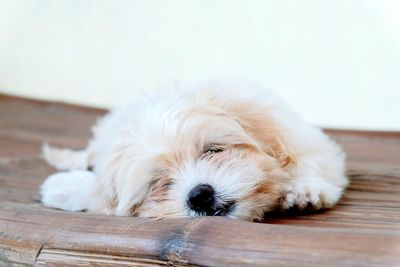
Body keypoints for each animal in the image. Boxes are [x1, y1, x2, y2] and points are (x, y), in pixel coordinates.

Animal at [39, 81, 346, 222]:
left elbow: (309, 158)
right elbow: (98, 193)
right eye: (160, 183)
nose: (199, 196)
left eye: (212, 150)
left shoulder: (298, 134)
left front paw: (304, 189)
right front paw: (64, 187)